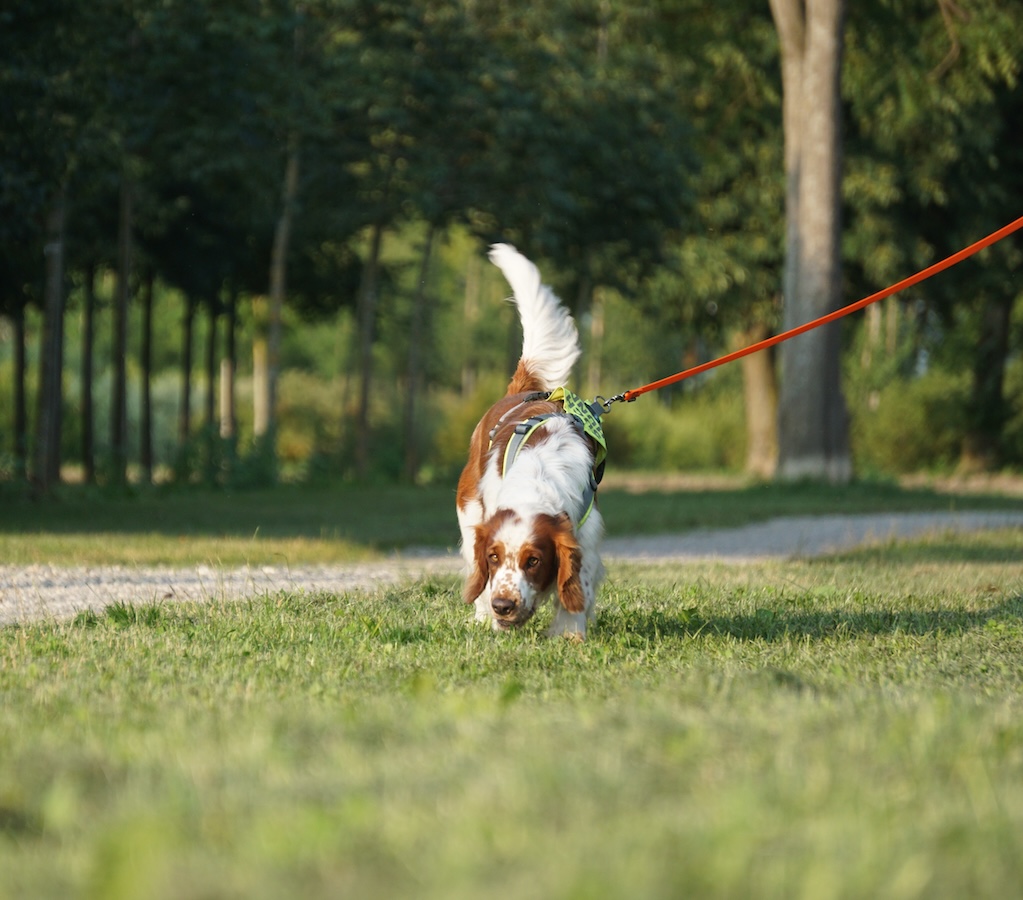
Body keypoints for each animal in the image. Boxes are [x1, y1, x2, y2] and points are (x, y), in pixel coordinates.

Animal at [454, 244, 601, 638]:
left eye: (533, 561)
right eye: (493, 557)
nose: (503, 606)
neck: (535, 480)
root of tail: (522, 391)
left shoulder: (585, 534)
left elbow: (579, 584)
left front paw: (569, 633)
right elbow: (482, 581)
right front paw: (491, 620)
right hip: (468, 508)